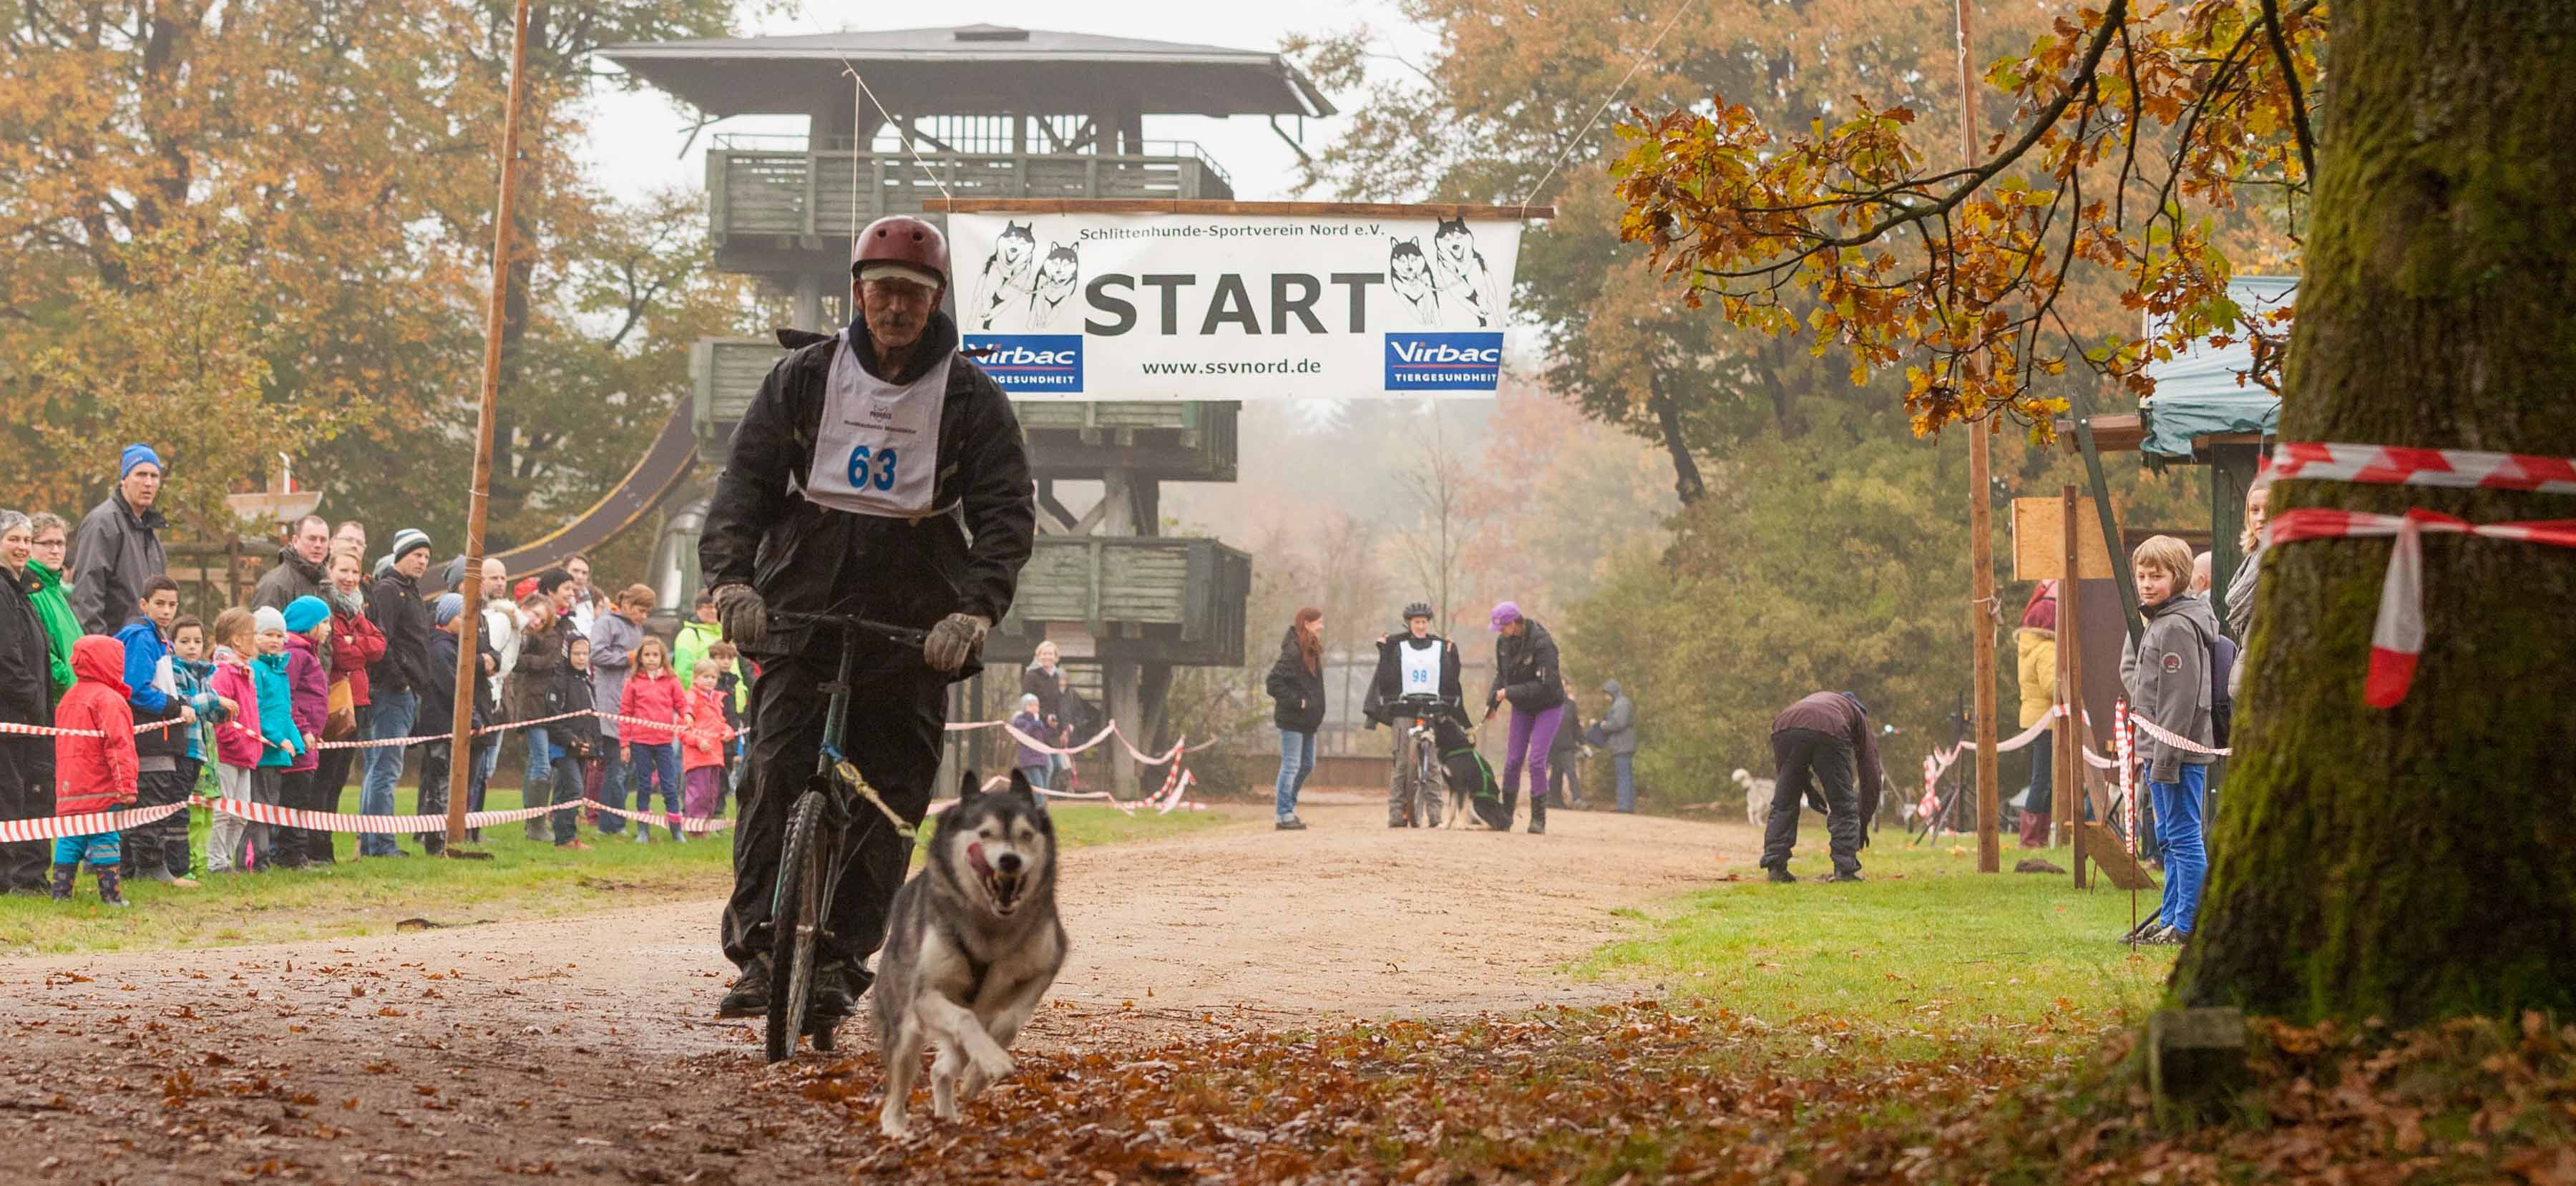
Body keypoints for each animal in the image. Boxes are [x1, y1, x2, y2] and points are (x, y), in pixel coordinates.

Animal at [870, 766, 1061, 1137]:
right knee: (899, 1082)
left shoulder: (1045, 967)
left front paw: (978, 1073)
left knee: (943, 1067)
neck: (991, 930)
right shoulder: (926, 996)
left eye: (1026, 835)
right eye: (984, 833)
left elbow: (1009, 1021)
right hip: (907, 1024)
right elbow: (965, 1018)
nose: (1010, 860)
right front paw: (992, 1061)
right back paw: (896, 1126)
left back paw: (950, 1106)